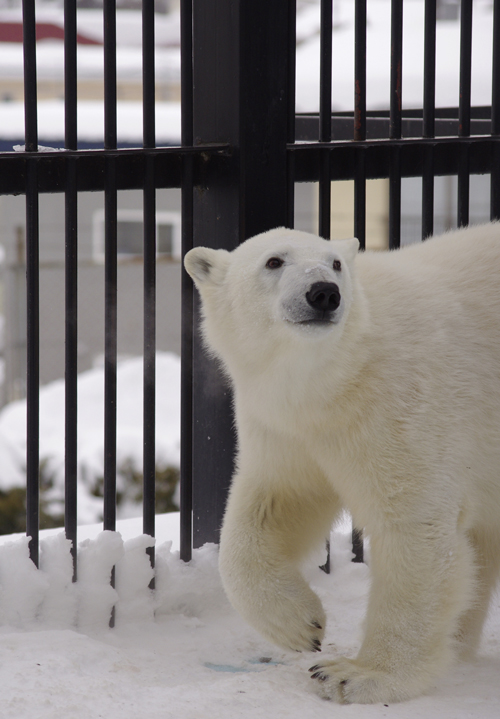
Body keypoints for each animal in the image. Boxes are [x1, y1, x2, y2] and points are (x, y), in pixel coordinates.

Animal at [184, 224, 500, 704]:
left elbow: (413, 528)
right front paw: (300, 624)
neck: (340, 373)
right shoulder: (289, 428)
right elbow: (275, 503)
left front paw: (354, 674)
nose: (323, 293)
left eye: (334, 263)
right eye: (274, 261)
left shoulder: (402, 405)